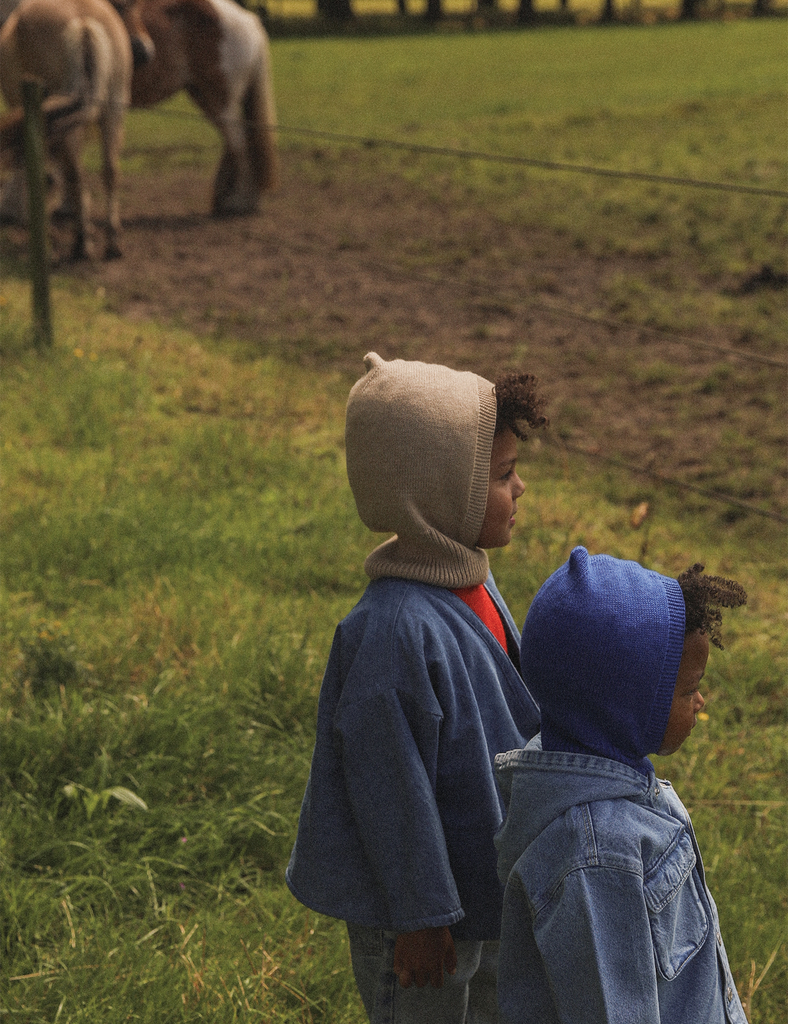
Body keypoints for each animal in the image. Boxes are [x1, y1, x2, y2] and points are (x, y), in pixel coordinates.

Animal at [0, 0, 154, 259]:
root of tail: (84, 23)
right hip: (113, 111)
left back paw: (80, 243)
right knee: (110, 172)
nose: (145, 51)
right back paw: (112, 243)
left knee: (70, 176)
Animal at [128, 0, 279, 216]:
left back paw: (240, 201)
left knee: (239, 143)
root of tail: (248, 19)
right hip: (207, 98)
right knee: (236, 142)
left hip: (219, 102)